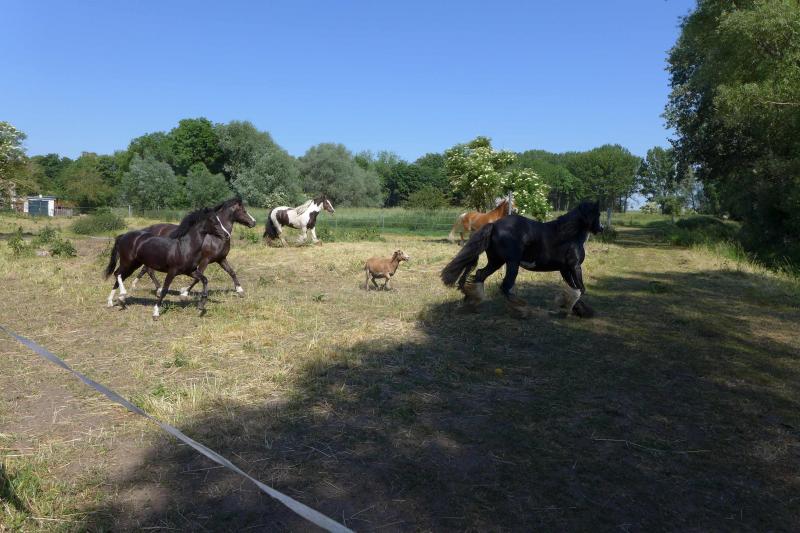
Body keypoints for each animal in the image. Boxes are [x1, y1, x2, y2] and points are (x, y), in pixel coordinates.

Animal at [440, 201, 603, 318]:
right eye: (598, 214)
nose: (601, 229)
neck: (569, 236)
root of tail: (494, 225)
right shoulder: (574, 266)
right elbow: (580, 289)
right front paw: (570, 308)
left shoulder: (565, 269)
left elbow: (574, 288)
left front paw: (577, 309)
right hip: (512, 263)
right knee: (505, 286)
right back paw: (522, 309)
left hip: (496, 261)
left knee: (481, 274)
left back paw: (472, 301)